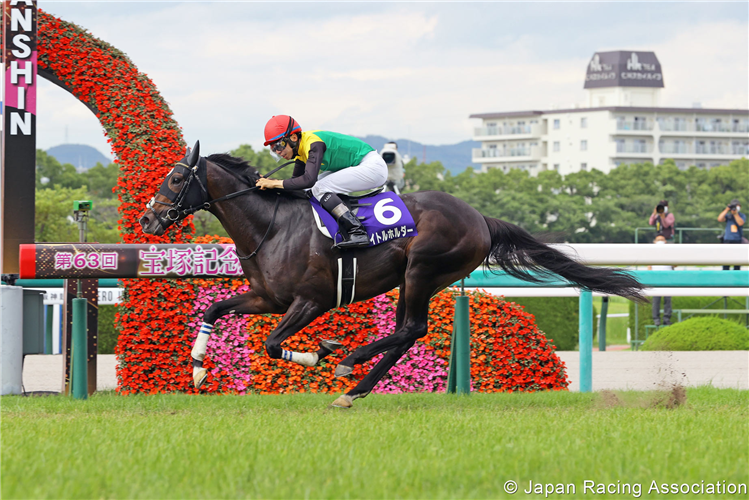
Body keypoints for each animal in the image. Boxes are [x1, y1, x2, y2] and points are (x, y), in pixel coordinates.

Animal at [140, 141, 644, 406]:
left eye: (176, 178)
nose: (147, 220)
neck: (272, 226)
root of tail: (480, 218)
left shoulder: (310, 300)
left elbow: (272, 344)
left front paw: (321, 353)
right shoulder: (268, 298)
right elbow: (215, 309)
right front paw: (198, 370)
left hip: (424, 268)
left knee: (412, 328)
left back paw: (349, 363)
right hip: (411, 279)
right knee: (407, 332)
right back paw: (354, 389)